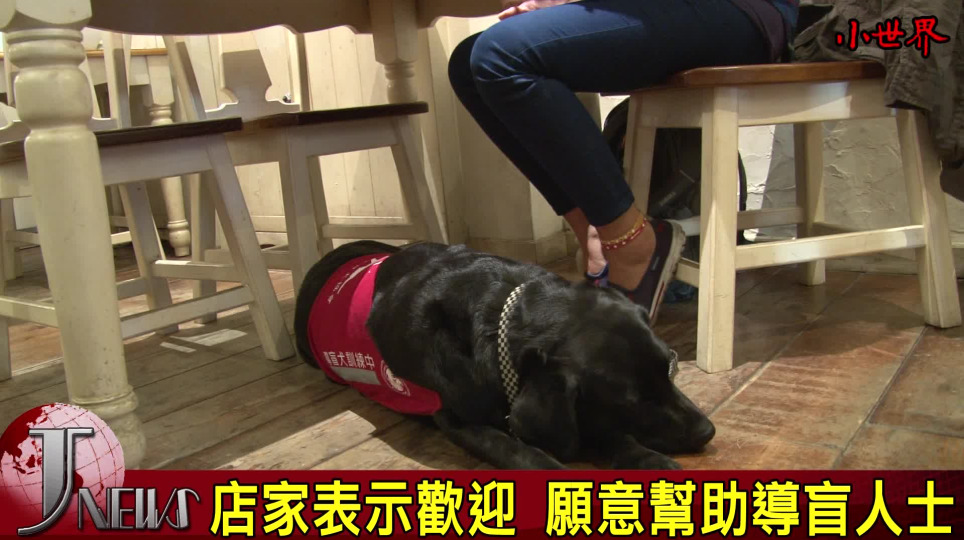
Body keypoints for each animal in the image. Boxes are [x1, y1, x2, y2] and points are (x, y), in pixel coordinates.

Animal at [294, 240, 714, 469]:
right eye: (631, 400)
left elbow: (602, 428)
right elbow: (518, 451)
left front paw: (644, 457)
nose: (707, 431)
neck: (499, 319)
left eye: (671, 366)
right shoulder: (457, 418)